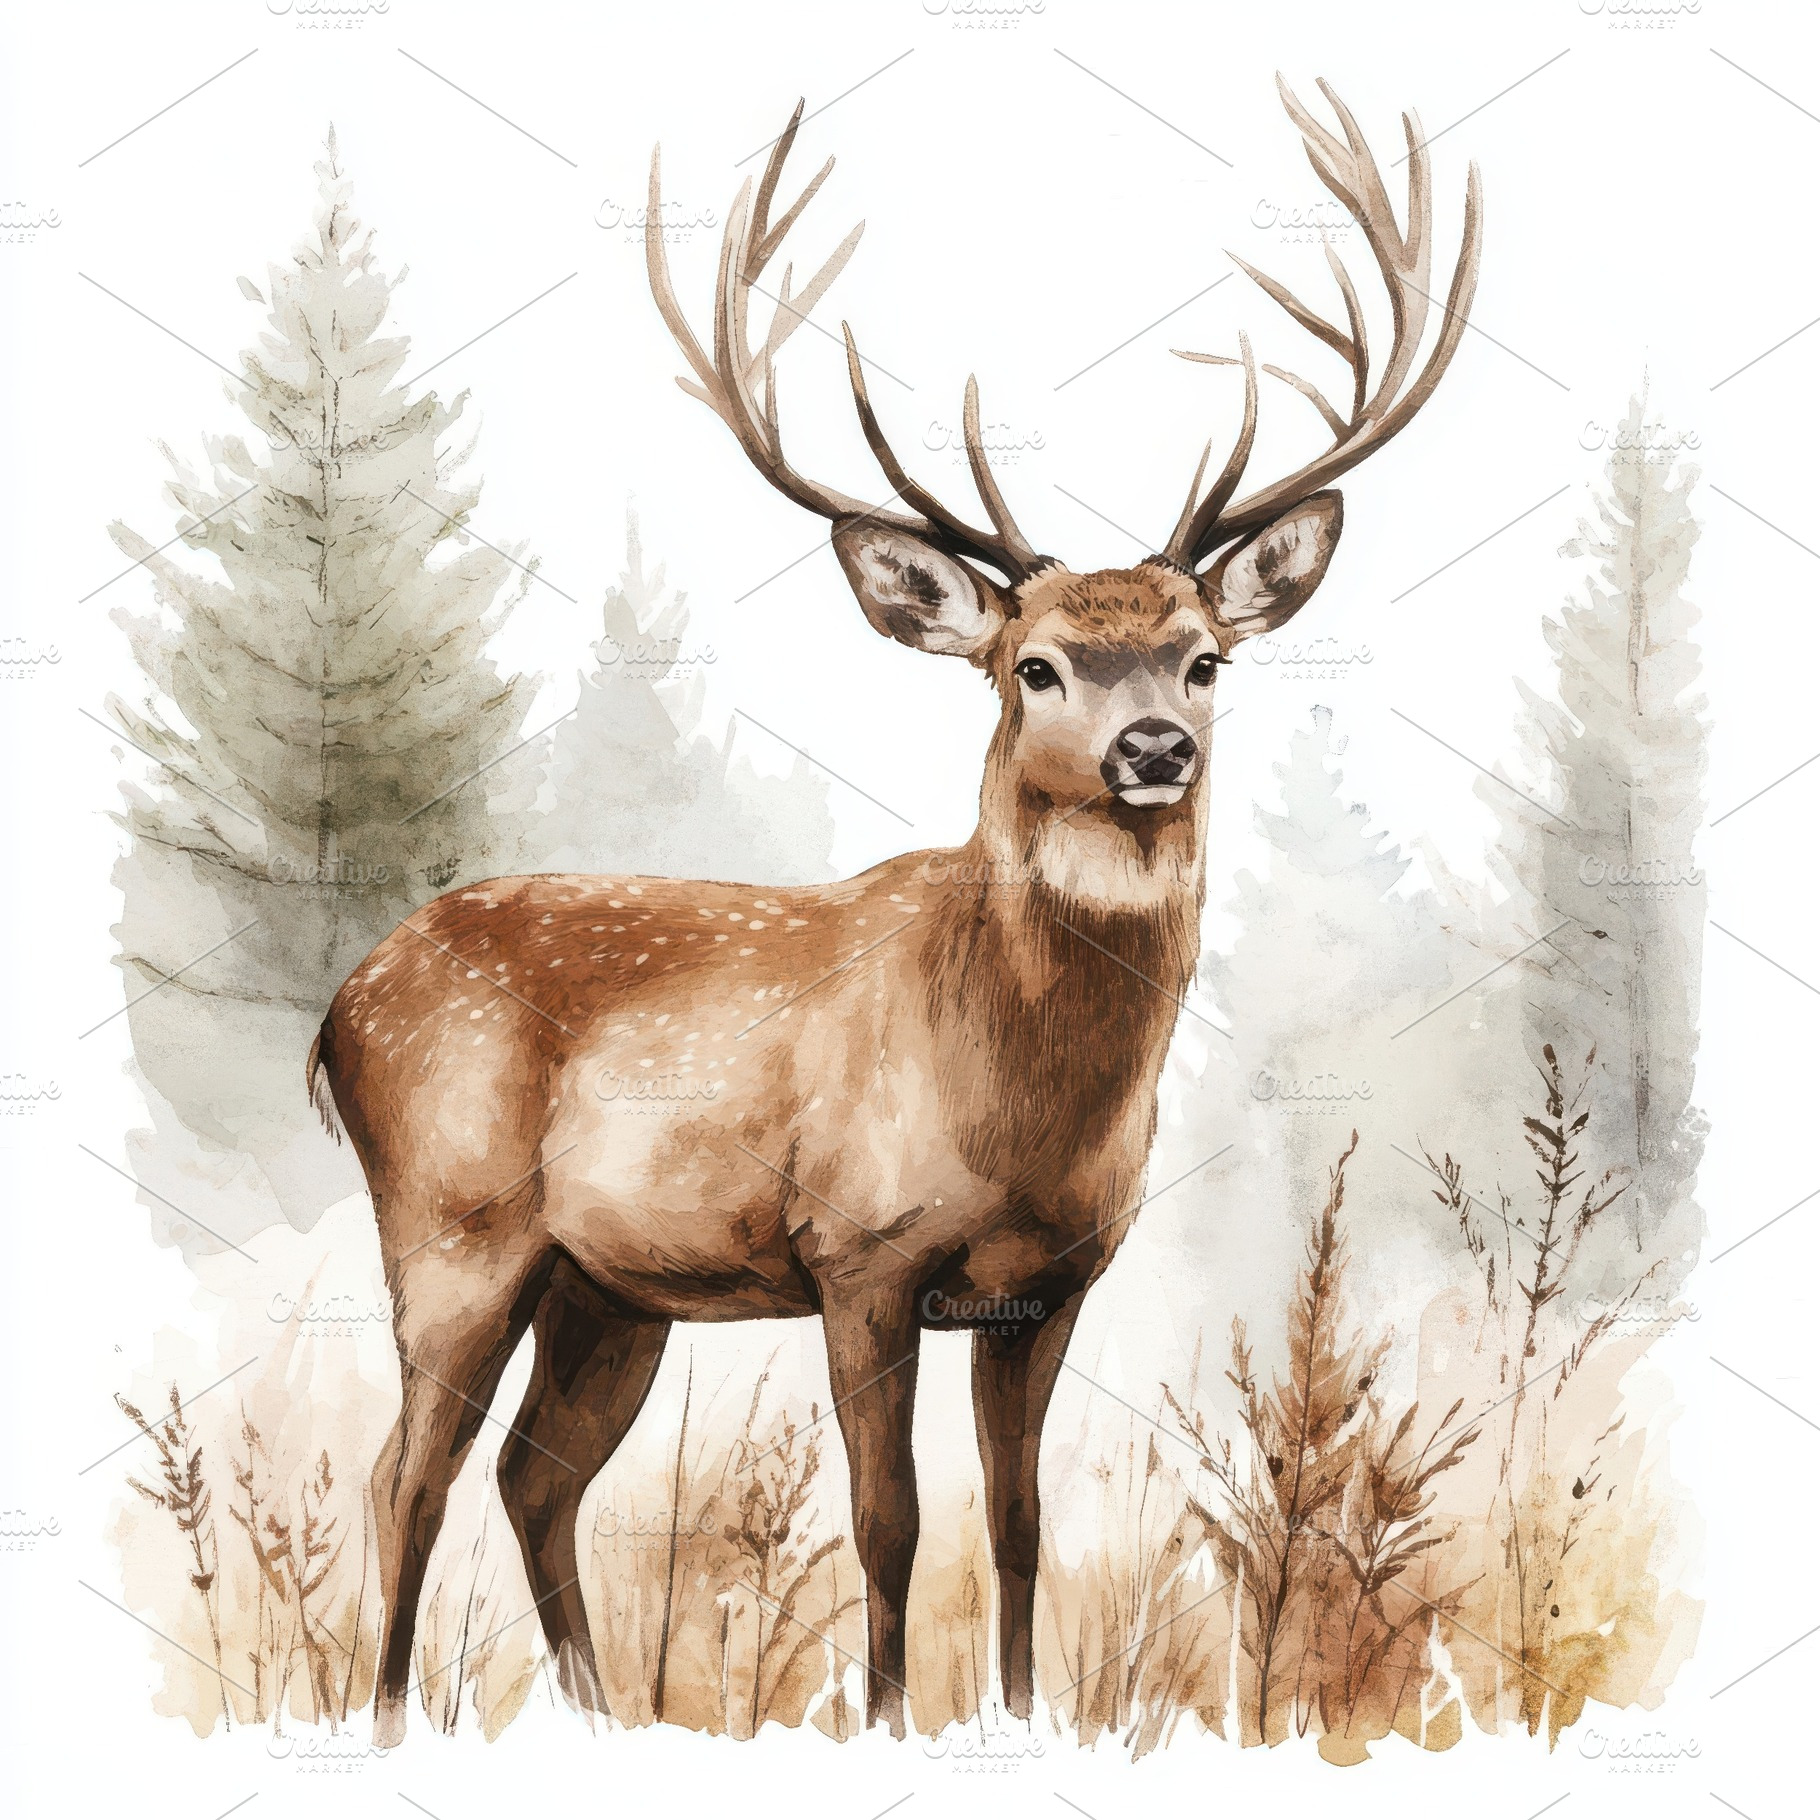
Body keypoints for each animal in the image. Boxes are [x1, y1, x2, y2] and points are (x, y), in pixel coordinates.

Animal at [313, 78, 1480, 1744]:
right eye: (1033, 665)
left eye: (1205, 658)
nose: (1154, 748)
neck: (1018, 1096)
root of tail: (337, 1009)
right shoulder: (858, 1252)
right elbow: (889, 1521)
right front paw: (885, 1724)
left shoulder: (1049, 1286)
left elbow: (1020, 1524)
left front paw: (1023, 1714)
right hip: (454, 1222)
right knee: (406, 1475)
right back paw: (388, 1718)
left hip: (608, 1287)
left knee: (538, 1480)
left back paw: (598, 1720)